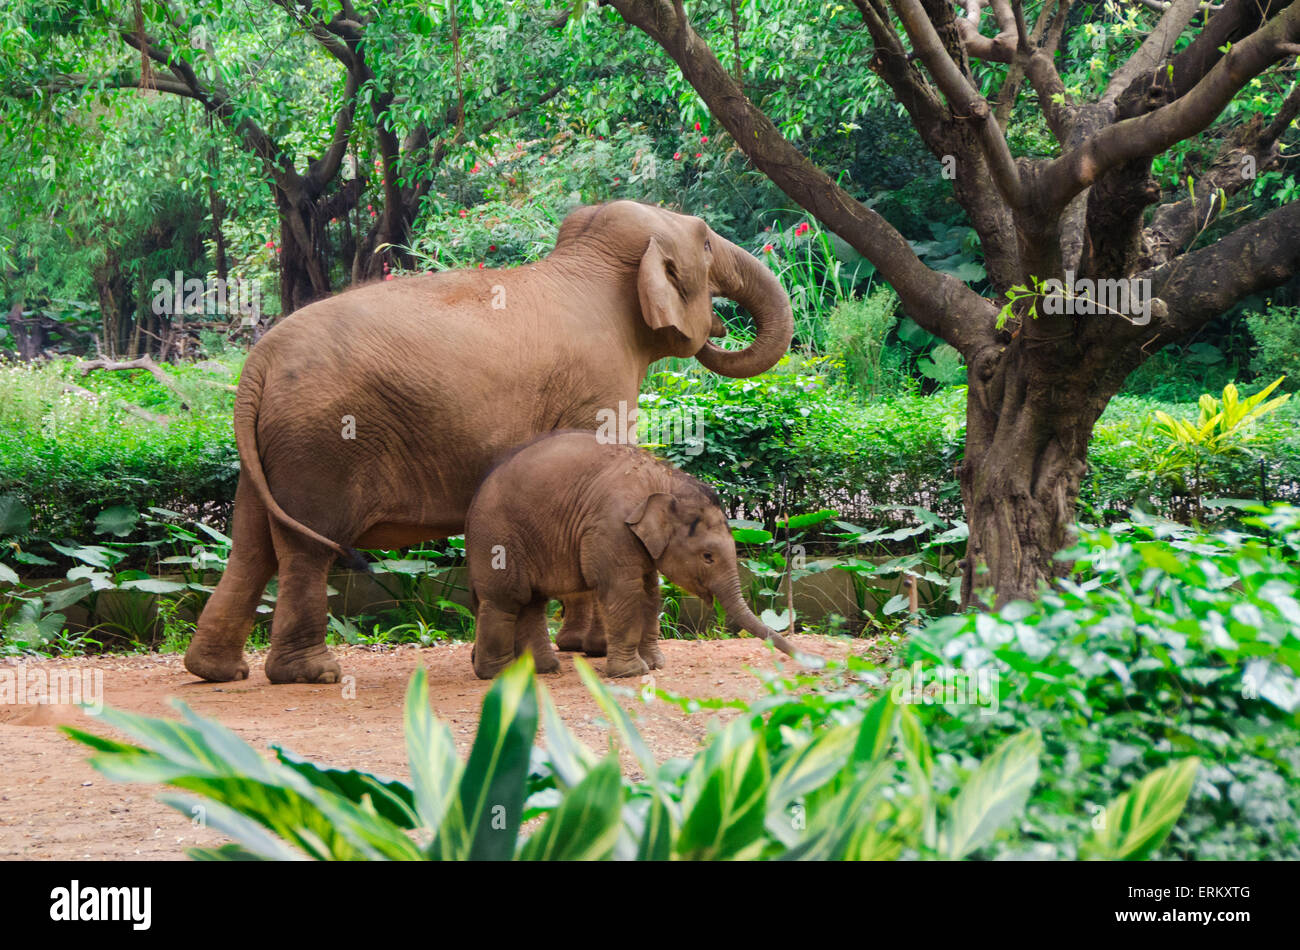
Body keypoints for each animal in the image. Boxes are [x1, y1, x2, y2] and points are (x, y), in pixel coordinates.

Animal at [467, 426, 790, 680]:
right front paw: (632, 672)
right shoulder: (612, 527)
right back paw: (498, 674)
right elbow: (622, 589)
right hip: (498, 540)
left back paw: (544, 669)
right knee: (505, 600)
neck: (663, 480)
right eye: (708, 557)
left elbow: (651, 592)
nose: (798, 657)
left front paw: (656, 664)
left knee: (533, 602)